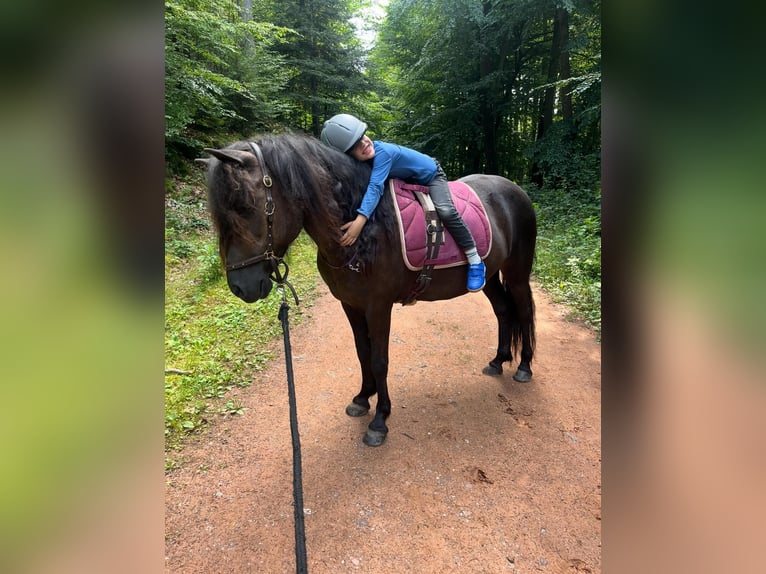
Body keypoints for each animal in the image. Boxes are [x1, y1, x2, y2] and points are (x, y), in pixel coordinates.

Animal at [198, 134, 537, 446]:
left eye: (245, 206)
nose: (240, 286)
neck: (366, 229)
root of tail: (514, 189)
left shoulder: (379, 306)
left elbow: (379, 359)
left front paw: (380, 420)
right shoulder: (350, 304)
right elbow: (363, 352)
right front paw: (363, 398)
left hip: (517, 274)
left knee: (522, 310)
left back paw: (523, 366)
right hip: (490, 276)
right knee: (503, 310)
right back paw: (498, 360)